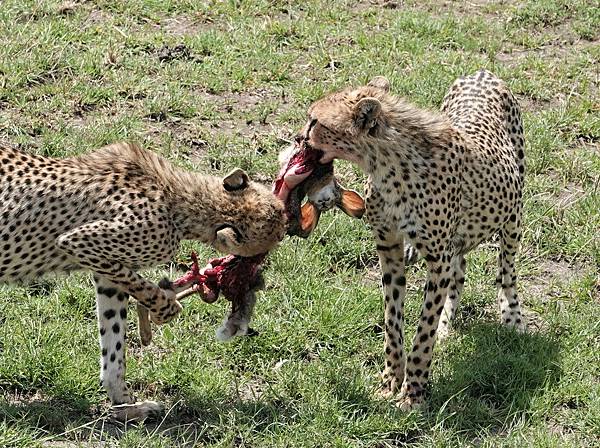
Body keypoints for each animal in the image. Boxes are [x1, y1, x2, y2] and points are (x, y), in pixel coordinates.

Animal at [0, 143, 286, 420]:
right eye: (275, 236)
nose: (288, 231)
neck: (181, 200)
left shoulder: (109, 273)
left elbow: (114, 340)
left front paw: (124, 404)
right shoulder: (81, 243)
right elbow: (149, 293)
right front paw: (164, 310)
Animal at [294, 69, 524, 410]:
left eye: (314, 122)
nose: (298, 138)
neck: (387, 165)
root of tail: (483, 72)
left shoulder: (437, 259)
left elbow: (423, 329)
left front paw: (414, 392)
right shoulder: (389, 247)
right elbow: (393, 320)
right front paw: (391, 380)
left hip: (513, 213)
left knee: (506, 270)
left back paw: (512, 317)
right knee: (461, 269)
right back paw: (448, 322)